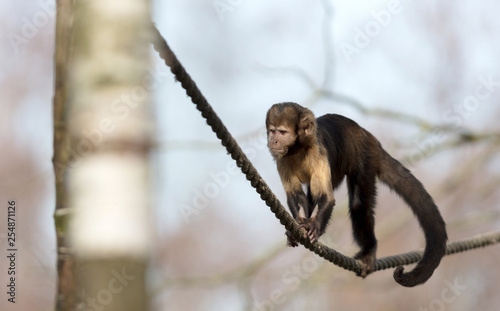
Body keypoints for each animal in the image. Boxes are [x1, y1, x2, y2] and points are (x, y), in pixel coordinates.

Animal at [268, 102, 448, 288]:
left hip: (365, 157)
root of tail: (367, 135)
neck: (298, 149)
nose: (273, 141)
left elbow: (326, 197)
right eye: (272, 131)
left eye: (282, 132)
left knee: (358, 204)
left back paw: (369, 251)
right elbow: (296, 196)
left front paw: (313, 226)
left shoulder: (318, 152)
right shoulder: (282, 159)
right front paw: (299, 226)